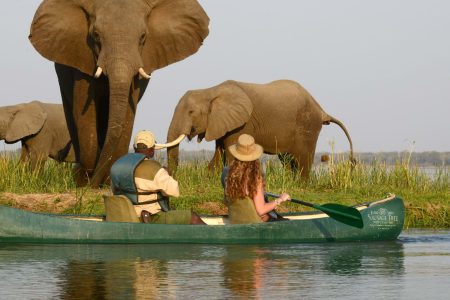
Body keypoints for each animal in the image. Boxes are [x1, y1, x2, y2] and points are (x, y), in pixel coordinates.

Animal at [29, 0, 208, 188]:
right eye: (96, 35)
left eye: (143, 36)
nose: (94, 183)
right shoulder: (83, 58)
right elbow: (85, 111)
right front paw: (84, 183)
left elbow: (127, 112)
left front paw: (110, 181)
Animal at [165, 79, 356, 178]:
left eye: (191, 112)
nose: (172, 177)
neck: (211, 91)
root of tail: (322, 110)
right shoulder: (222, 123)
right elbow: (220, 152)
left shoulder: (242, 124)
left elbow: (231, 152)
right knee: (287, 159)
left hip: (307, 125)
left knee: (302, 158)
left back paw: (301, 185)